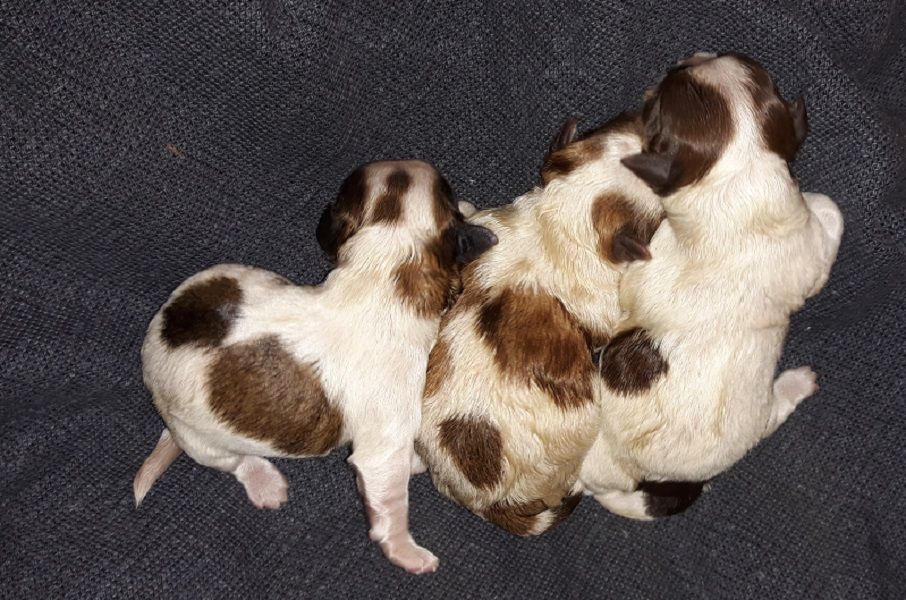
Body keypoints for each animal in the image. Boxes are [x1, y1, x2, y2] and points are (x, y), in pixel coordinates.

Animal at [133, 160, 497, 573]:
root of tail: (153, 350)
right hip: (198, 438)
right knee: (233, 460)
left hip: (240, 275)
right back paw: (265, 483)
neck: (388, 263)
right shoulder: (385, 441)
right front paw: (407, 551)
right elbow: (389, 497)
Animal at [578, 53, 845, 519]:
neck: (732, 178)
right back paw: (795, 383)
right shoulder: (807, 246)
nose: (687, 57)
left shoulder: (650, 259)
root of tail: (643, 477)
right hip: (749, 421)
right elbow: (830, 210)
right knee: (770, 415)